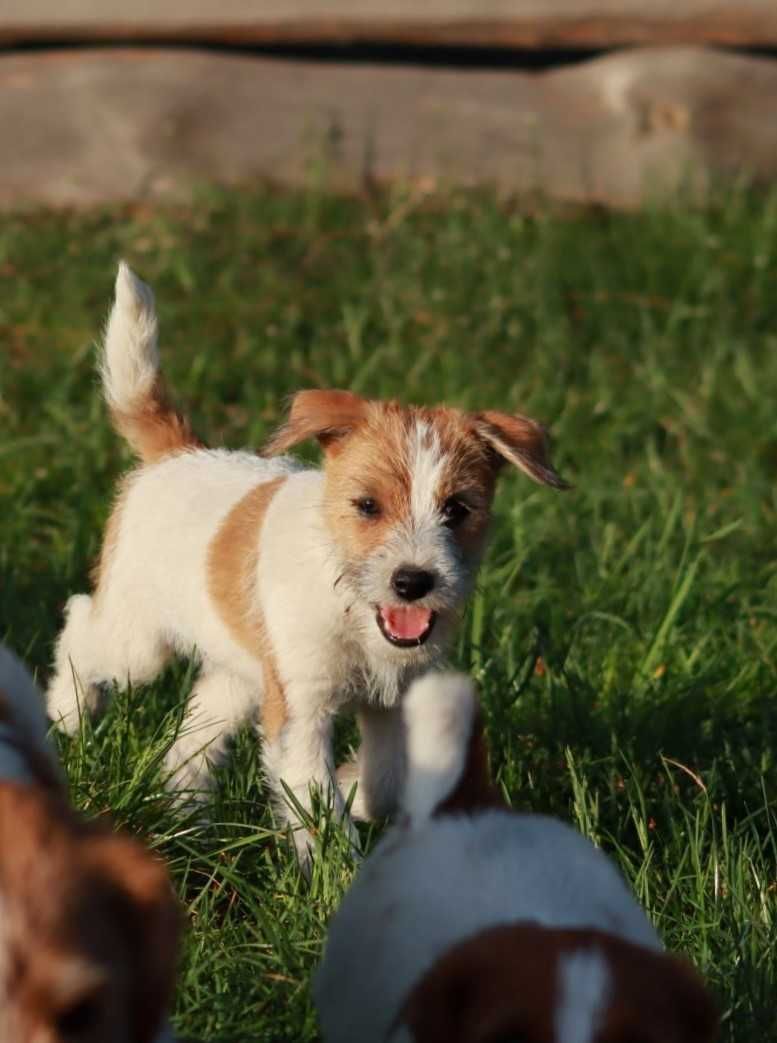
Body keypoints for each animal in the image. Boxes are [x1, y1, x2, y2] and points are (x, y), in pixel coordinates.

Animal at [48, 262, 567, 863]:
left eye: (458, 509)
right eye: (367, 506)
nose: (412, 582)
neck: (350, 607)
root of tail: (178, 454)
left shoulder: (393, 700)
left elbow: (386, 781)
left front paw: (351, 785)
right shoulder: (302, 710)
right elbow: (314, 803)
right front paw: (334, 870)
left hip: (241, 672)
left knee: (195, 733)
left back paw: (182, 813)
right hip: (141, 644)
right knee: (80, 620)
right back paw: (67, 711)